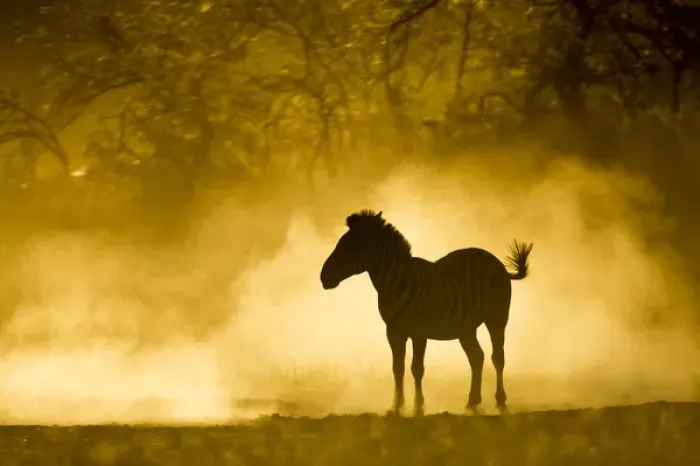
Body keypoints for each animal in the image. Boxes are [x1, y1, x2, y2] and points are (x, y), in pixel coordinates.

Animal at [320, 209, 533, 416]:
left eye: (350, 248)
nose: (323, 277)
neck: (396, 283)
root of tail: (494, 259)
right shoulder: (393, 332)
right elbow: (397, 368)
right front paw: (396, 407)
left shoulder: (419, 332)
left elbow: (416, 368)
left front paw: (418, 407)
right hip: (466, 327)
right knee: (477, 357)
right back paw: (472, 403)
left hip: (497, 317)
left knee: (497, 357)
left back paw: (501, 402)